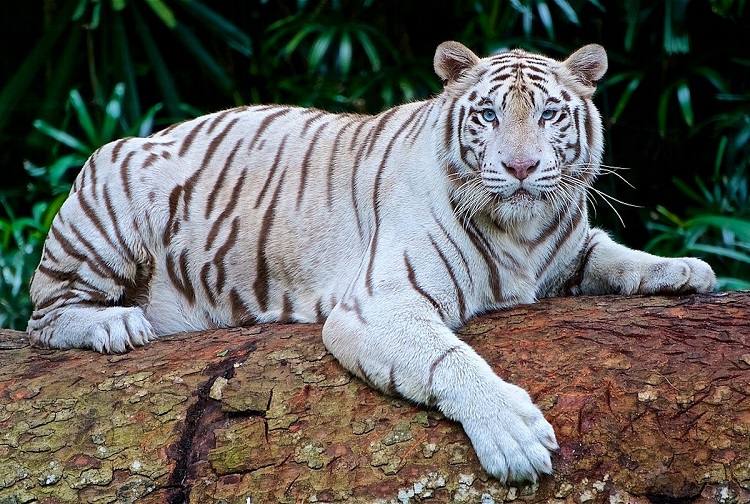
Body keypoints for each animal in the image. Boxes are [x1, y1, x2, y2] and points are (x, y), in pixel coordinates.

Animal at [26, 41, 716, 482]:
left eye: (549, 113)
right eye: (488, 114)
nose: (520, 167)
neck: (523, 232)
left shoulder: (569, 249)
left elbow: (615, 254)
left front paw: (685, 268)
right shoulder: (380, 303)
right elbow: (450, 359)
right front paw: (514, 435)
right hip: (109, 193)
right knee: (43, 317)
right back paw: (115, 324)